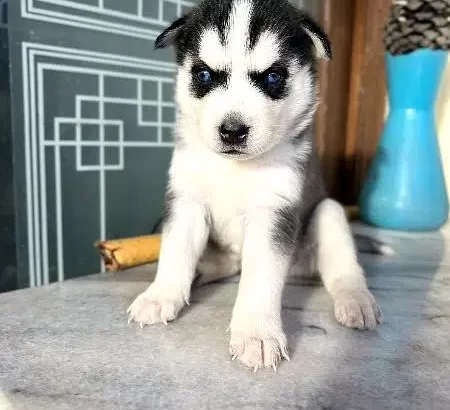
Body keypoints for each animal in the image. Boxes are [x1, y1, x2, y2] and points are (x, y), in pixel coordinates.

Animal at [126, 0, 384, 372]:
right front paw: (160, 296)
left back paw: (356, 300)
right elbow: (175, 253)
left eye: (272, 77)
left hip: (329, 213)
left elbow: (260, 277)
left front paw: (257, 334)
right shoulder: (186, 201)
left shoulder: (273, 211)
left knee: (343, 267)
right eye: (204, 75)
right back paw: (201, 272)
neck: (235, 168)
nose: (232, 131)